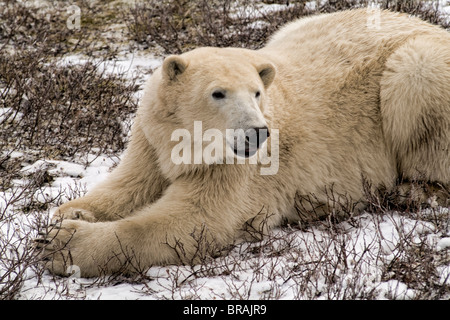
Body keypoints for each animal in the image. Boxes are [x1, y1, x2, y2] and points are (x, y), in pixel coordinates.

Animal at [38, 8, 450, 276]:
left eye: (256, 92)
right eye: (218, 93)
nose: (257, 132)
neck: (188, 145)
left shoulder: (236, 168)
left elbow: (194, 221)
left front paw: (61, 244)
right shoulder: (151, 140)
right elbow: (132, 182)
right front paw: (72, 212)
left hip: (417, 67)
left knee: (416, 82)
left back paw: (415, 191)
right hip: (295, 27)